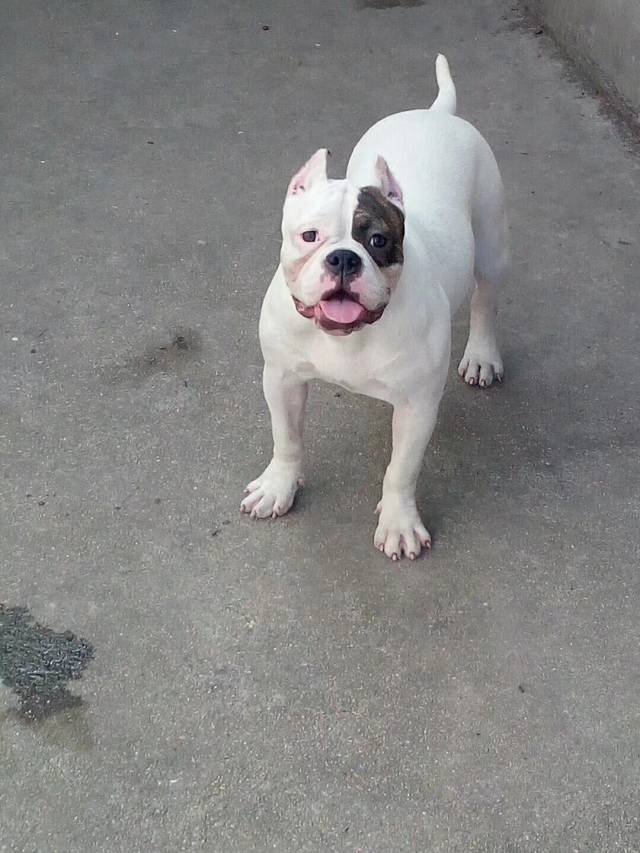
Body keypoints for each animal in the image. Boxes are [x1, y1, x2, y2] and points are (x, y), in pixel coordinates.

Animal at [241, 55, 510, 560]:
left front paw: (399, 522)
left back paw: (482, 356)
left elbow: (401, 470)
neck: (349, 336)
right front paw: (279, 485)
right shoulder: (281, 379)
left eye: (379, 241)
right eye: (310, 236)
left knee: (486, 300)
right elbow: (286, 438)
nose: (344, 258)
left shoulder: (418, 405)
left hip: (490, 244)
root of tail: (436, 113)